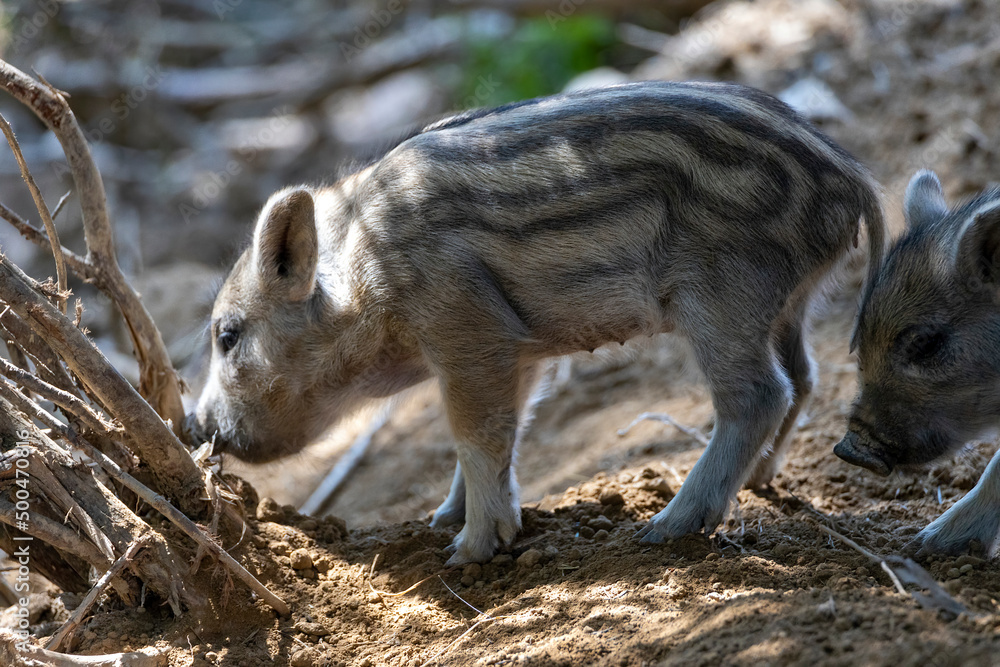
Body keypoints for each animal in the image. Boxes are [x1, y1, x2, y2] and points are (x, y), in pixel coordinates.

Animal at [188, 81, 885, 564]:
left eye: (228, 336)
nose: (197, 426)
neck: (365, 274)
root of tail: (851, 177)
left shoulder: (468, 332)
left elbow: (477, 433)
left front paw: (466, 551)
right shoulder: (520, 349)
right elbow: (511, 428)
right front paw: (444, 521)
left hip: (722, 297)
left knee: (759, 395)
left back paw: (666, 528)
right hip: (787, 302)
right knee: (804, 376)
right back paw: (763, 480)